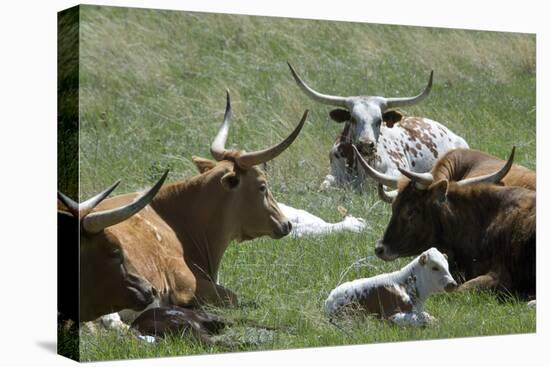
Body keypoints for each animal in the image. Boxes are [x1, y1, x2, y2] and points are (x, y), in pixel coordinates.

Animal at [288, 62, 470, 191]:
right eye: (353, 118)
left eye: (379, 120)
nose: (366, 144)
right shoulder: (332, 174)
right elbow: (325, 186)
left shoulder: (395, 171)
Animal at [328, 247, 458, 328]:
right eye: (434, 267)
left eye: (447, 266)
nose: (452, 284)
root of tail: (329, 299)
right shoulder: (389, 316)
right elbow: (424, 319)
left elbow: (428, 317)